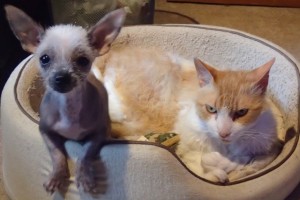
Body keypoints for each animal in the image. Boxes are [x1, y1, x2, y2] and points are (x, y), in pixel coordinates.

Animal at [93, 47, 282, 183]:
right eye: (211, 109)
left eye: (241, 112)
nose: (223, 132)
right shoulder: (186, 143)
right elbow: (199, 163)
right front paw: (218, 172)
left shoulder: (265, 142)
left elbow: (253, 159)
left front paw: (233, 164)